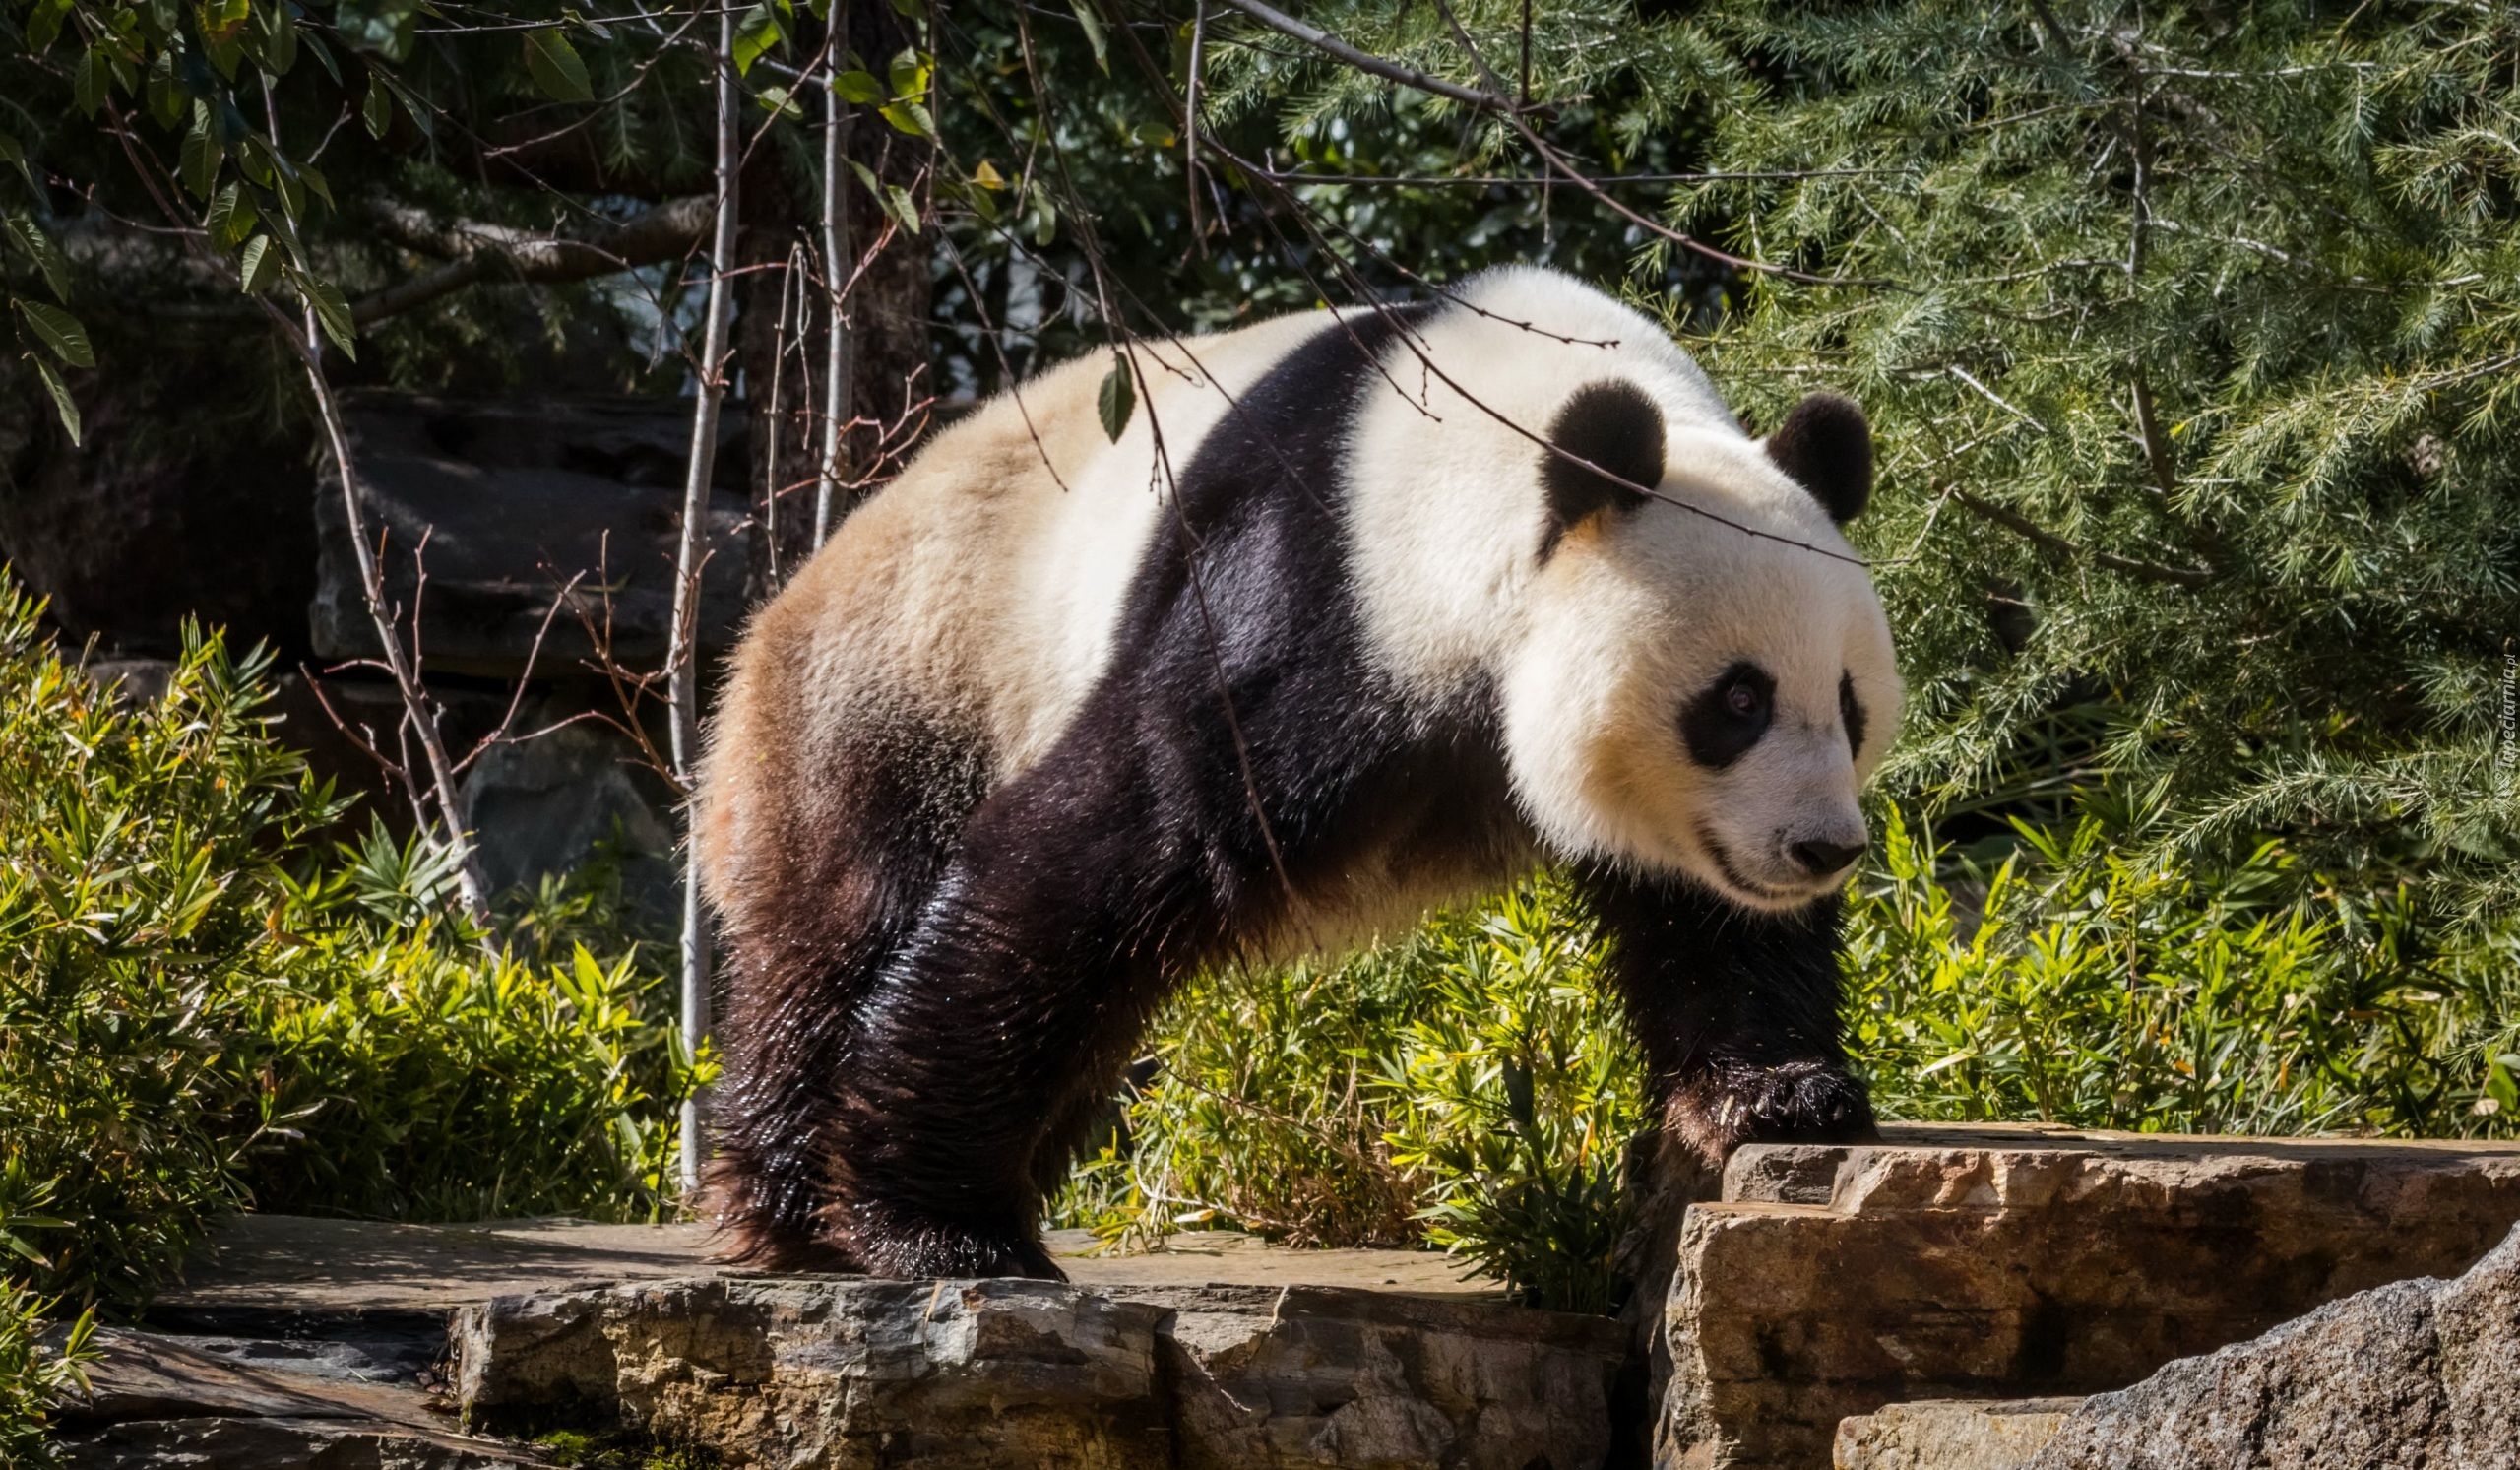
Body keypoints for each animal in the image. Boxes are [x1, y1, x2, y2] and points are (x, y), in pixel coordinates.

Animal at [700, 270, 1895, 1280]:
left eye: (1847, 704)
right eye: (1735, 701)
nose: (1822, 847)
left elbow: (1709, 914)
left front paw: (1780, 1091)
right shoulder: (1312, 591)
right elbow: (1091, 852)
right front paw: (940, 1226)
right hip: (905, 679)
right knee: (840, 927)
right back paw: (792, 1206)